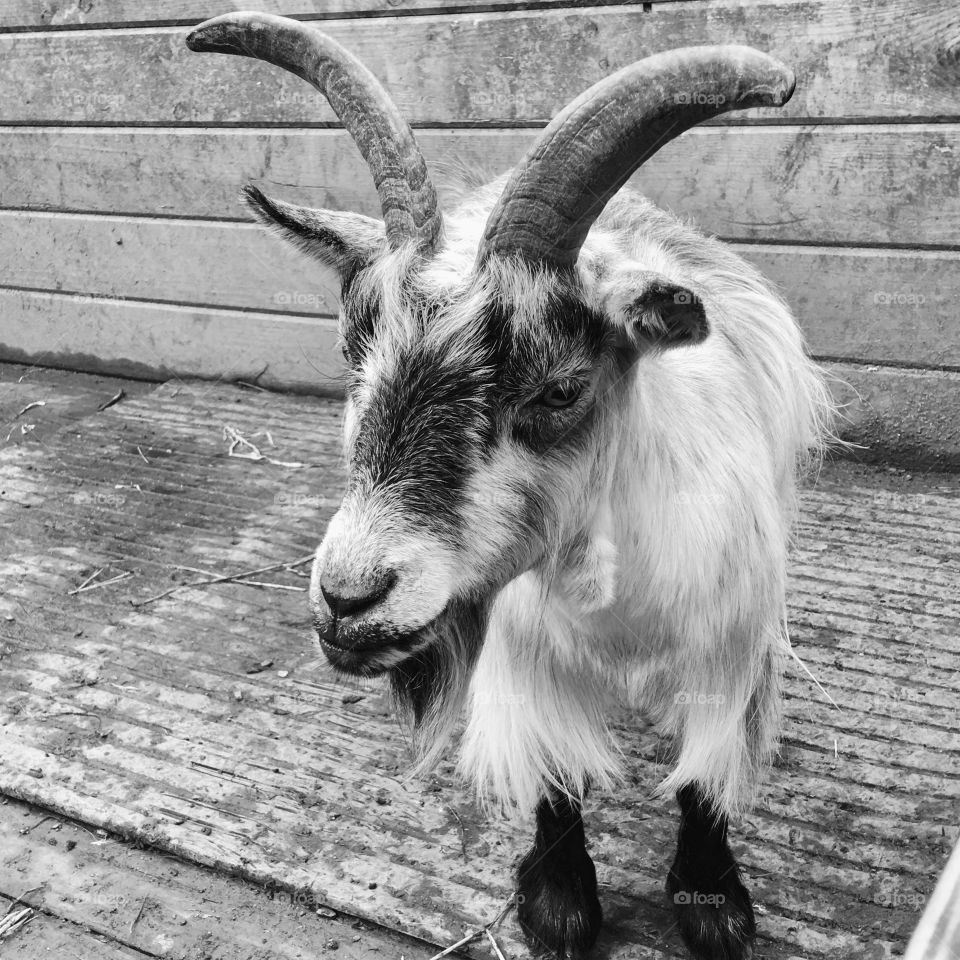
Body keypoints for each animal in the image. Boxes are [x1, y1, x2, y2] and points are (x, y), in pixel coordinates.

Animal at [187, 14, 833, 960]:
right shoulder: (526, 658)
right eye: (351, 355)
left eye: (561, 390)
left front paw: (712, 902)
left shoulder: (728, 647)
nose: (350, 599)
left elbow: (703, 781)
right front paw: (558, 903)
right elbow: (554, 780)